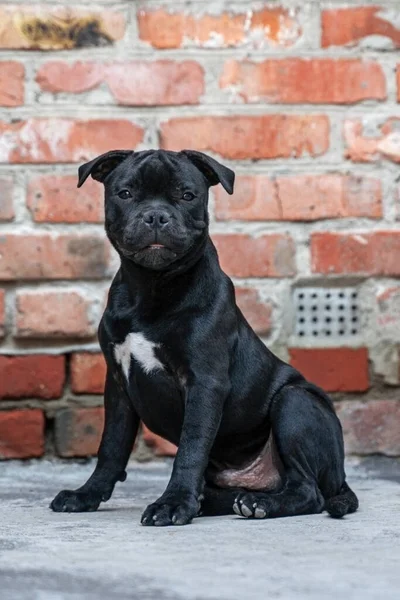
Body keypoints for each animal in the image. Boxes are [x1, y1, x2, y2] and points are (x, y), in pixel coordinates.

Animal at [50, 149, 360, 524]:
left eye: (187, 195)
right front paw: (86, 494)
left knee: (308, 490)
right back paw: (216, 501)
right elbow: (111, 446)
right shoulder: (119, 385)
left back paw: (259, 504)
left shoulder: (204, 382)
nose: (156, 215)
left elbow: (191, 448)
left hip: (295, 403)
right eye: (125, 194)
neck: (152, 286)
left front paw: (173, 504)